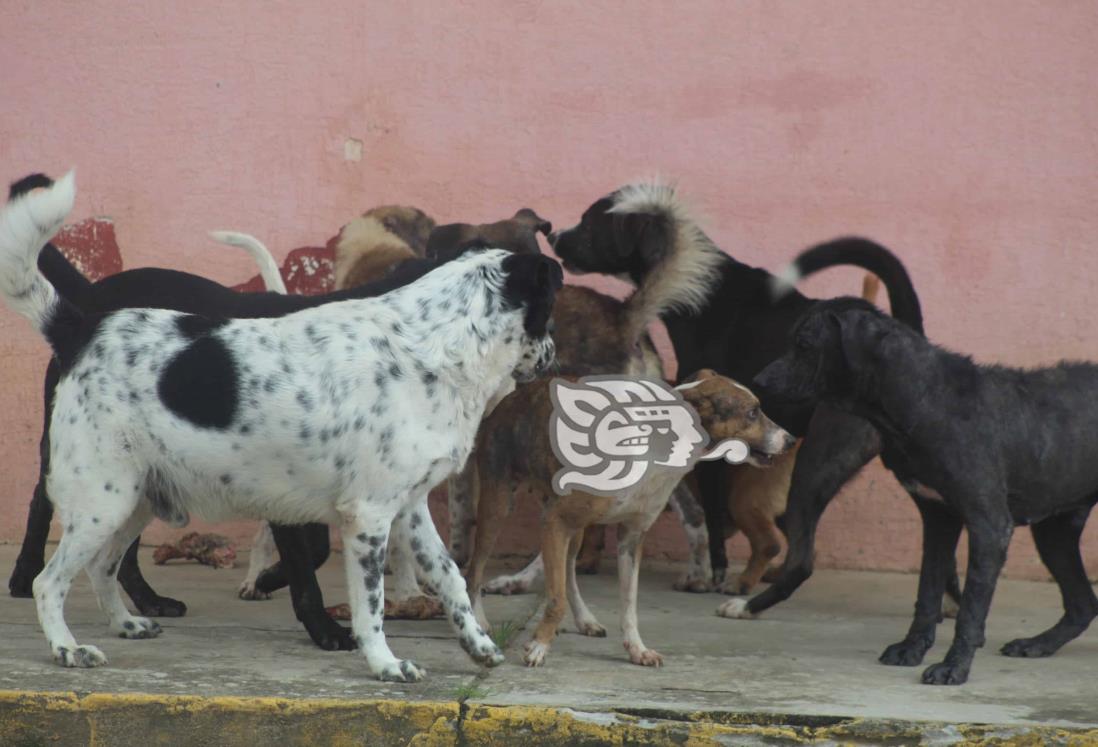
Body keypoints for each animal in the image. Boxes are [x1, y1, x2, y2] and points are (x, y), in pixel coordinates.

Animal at [0, 172, 562, 681]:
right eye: (551, 309)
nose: (555, 356)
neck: (434, 345)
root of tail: (77, 327)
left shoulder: (409, 507)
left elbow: (450, 579)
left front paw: (479, 646)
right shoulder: (369, 515)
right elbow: (371, 604)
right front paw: (383, 663)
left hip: (136, 500)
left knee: (103, 566)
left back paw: (125, 623)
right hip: (102, 501)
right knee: (50, 580)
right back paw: (67, 647)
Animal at [467, 371, 794, 667]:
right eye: (752, 412)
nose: (791, 440)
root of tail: (514, 396)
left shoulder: (631, 537)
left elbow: (628, 604)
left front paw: (637, 649)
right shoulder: (555, 521)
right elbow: (555, 597)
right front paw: (539, 646)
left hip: (575, 528)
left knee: (569, 570)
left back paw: (585, 619)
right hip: (498, 508)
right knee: (475, 570)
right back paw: (479, 621)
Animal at [549, 181, 961, 610]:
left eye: (589, 223)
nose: (553, 235)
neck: (711, 294)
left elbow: (711, 516)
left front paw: (712, 573)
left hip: (817, 463)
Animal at [755, 296, 1098, 681]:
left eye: (804, 344)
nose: (758, 382)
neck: (925, 401)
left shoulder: (989, 525)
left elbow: (971, 607)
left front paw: (955, 666)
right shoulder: (938, 519)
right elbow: (928, 592)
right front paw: (912, 647)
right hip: (1055, 532)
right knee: (1084, 604)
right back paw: (1038, 644)